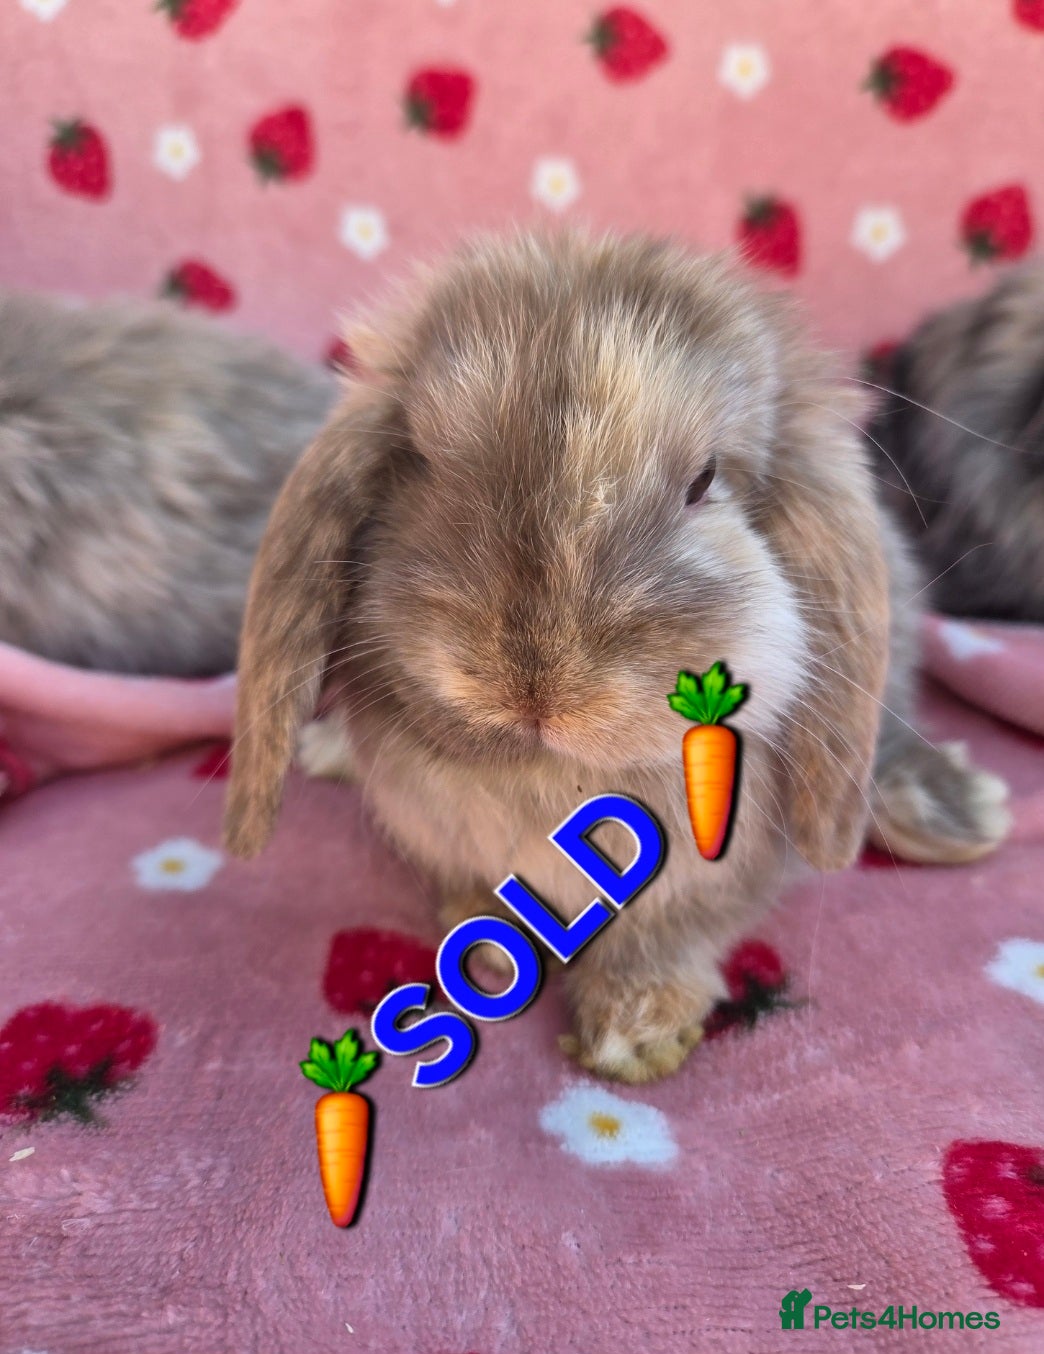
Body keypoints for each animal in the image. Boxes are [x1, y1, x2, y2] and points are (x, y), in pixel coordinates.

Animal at [224, 229, 1010, 1085]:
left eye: (705, 480)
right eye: (425, 463)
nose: (537, 687)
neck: (559, 779)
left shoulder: (710, 882)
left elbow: (668, 939)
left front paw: (634, 1031)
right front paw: (484, 956)